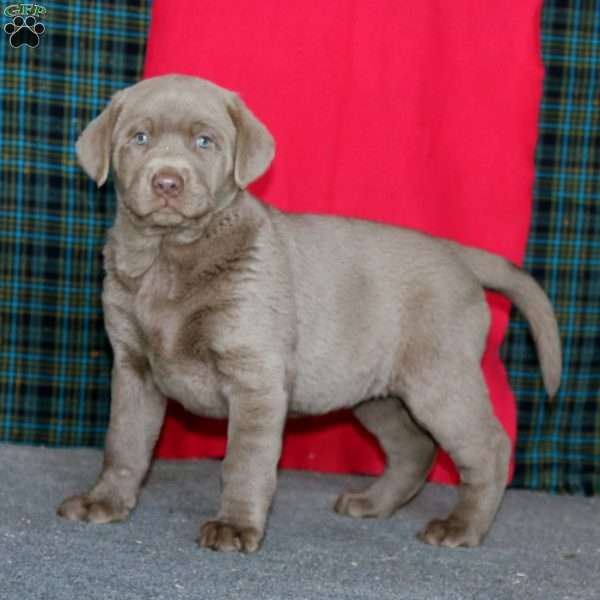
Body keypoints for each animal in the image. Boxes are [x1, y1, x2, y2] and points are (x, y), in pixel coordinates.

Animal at [57, 74, 564, 552]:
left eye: (205, 141)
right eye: (139, 138)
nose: (167, 182)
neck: (167, 257)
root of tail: (457, 252)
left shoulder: (255, 375)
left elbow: (244, 460)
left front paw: (234, 526)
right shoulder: (133, 368)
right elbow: (124, 443)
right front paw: (104, 502)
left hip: (440, 377)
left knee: (488, 446)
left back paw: (460, 528)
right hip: (375, 392)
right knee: (414, 448)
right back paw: (371, 503)